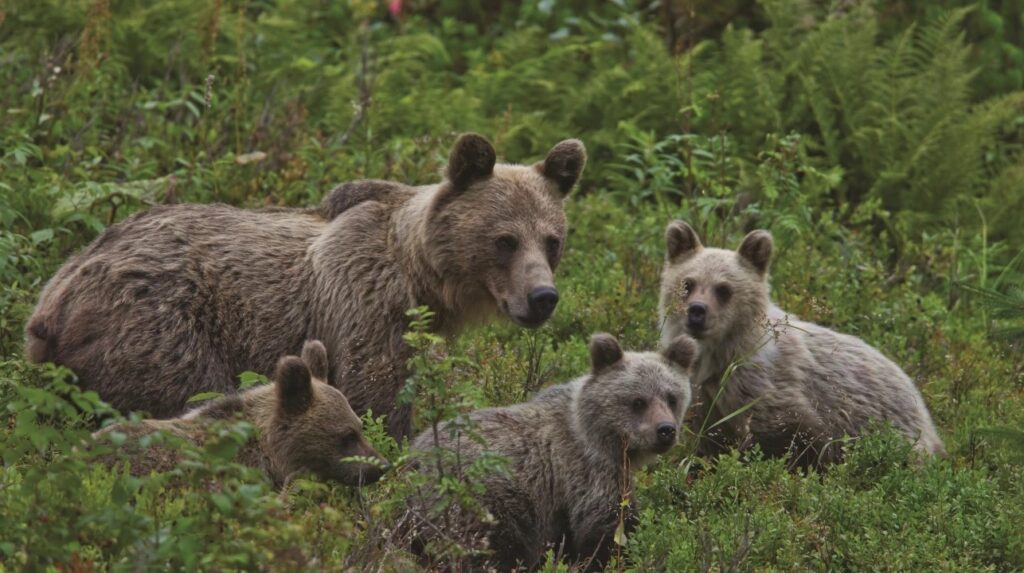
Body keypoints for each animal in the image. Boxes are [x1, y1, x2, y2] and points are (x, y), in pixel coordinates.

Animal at [25, 135, 585, 437]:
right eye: (504, 240)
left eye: (552, 240)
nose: (542, 298)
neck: (421, 274)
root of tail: (56, 296)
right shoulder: (366, 303)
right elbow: (376, 395)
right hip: (160, 323)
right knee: (189, 392)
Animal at [407, 333, 696, 568]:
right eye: (638, 401)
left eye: (671, 397)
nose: (666, 430)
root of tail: (412, 462)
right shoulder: (587, 472)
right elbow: (607, 528)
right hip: (479, 500)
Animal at [655, 222, 942, 468]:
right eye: (687, 283)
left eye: (724, 289)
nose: (697, 311)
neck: (721, 358)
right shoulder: (708, 401)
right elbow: (710, 443)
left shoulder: (775, 394)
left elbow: (795, 439)